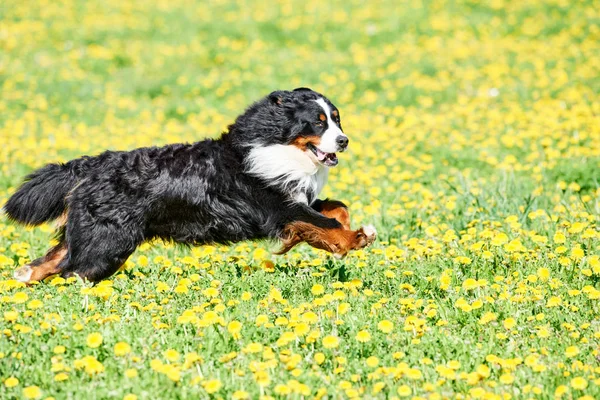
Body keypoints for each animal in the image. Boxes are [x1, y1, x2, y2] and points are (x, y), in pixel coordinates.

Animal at [3, 87, 376, 282]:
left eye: (337, 119)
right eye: (318, 122)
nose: (344, 141)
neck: (276, 146)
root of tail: (92, 164)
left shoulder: (295, 198)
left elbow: (336, 209)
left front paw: (348, 233)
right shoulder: (277, 207)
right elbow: (327, 222)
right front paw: (356, 239)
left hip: (93, 235)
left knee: (54, 260)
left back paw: (23, 277)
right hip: (107, 244)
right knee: (73, 270)